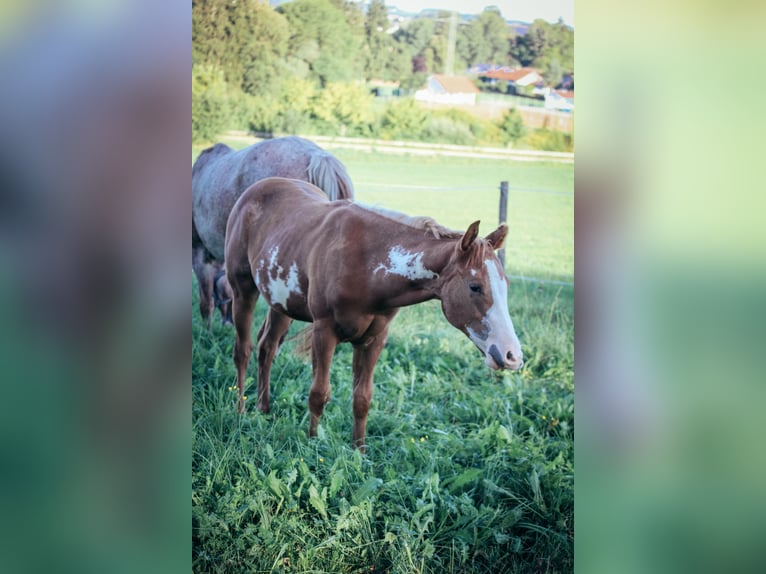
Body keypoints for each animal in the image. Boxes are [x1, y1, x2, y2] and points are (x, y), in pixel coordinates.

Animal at [228, 176, 524, 454]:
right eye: (475, 287)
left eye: (506, 284)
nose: (512, 356)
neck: (366, 263)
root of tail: (257, 189)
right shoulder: (324, 333)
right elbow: (318, 393)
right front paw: (312, 445)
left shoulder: (373, 339)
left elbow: (362, 398)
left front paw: (359, 454)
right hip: (243, 291)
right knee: (243, 350)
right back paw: (241, 411)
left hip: (281, 304)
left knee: (267, 348)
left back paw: (263, 408)